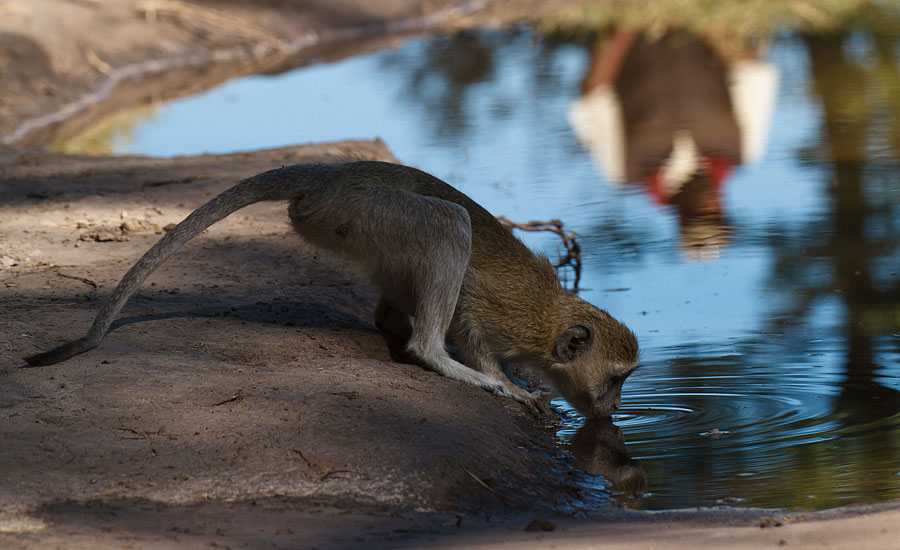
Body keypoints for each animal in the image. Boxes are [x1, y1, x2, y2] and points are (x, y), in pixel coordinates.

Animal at [22, 163, 640, 418]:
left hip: (360, 226)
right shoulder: (500, 315)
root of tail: (331, 175)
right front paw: (506, 383)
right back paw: (434, 355)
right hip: (362, 210)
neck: (547, 319)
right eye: (615, 379)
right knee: (447, 225)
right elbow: (473, 330)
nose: (614, 407)